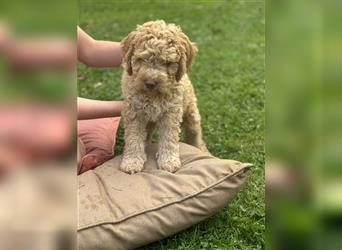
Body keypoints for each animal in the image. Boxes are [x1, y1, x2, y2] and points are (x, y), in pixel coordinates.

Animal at [119, 20, 207, 174]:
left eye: (168, 63)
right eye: (141, 59)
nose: (150, 83)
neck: (153, 96)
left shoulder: (171, 112)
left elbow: (169, 138)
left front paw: (168, 161)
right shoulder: (134, 111)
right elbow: (133, 137)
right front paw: (132, 161)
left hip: (190, 111)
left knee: (194, 133)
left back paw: (201, 149)